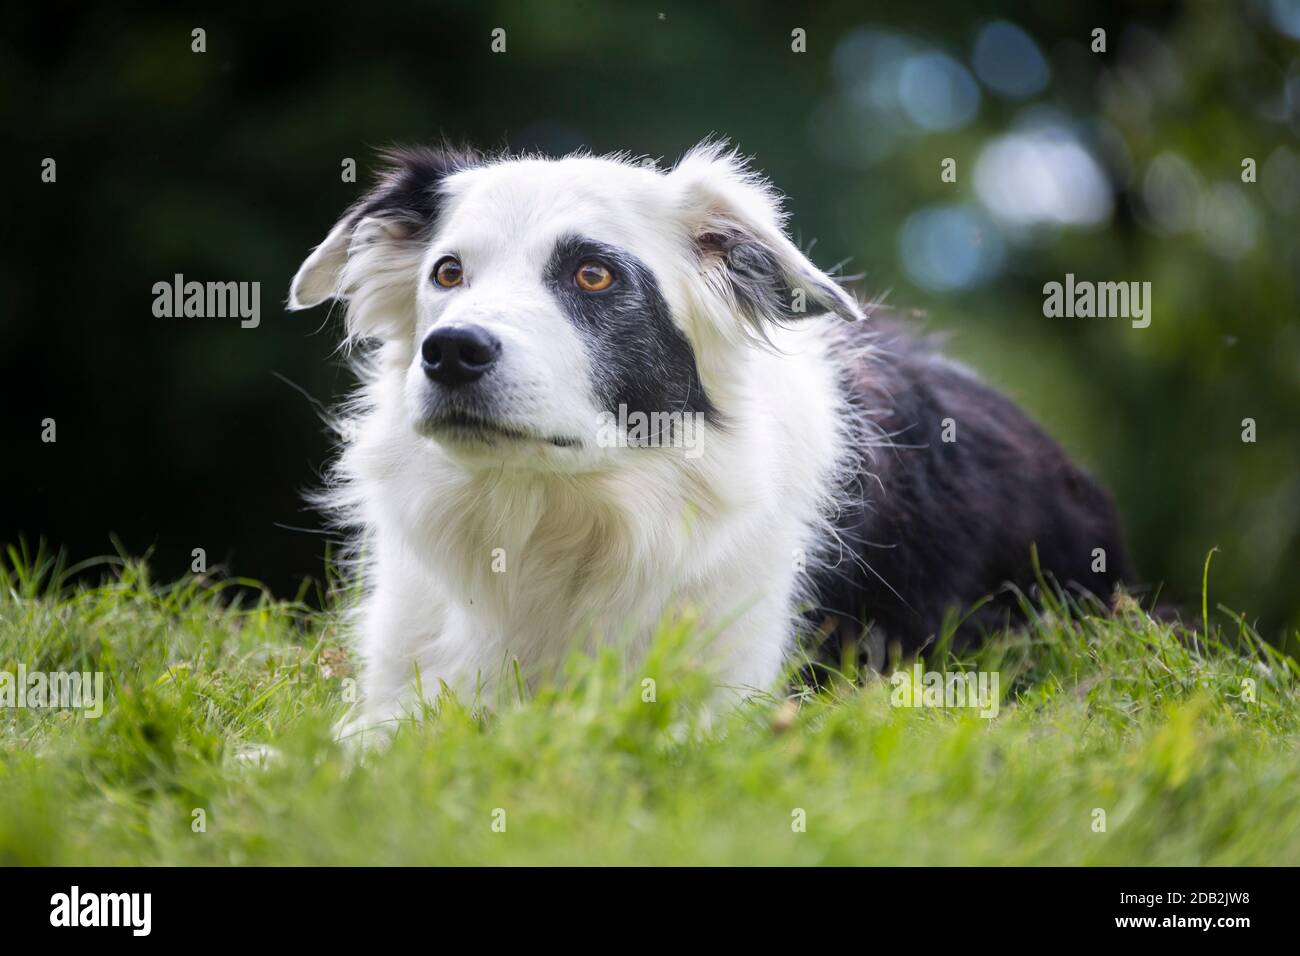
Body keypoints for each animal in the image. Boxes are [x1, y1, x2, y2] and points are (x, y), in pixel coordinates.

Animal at [287, 141, 1128, 738]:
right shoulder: (397, 684)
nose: (452, 352)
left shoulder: (728, 698)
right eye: (448, 273)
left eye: (593, 276)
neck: (550, 515)